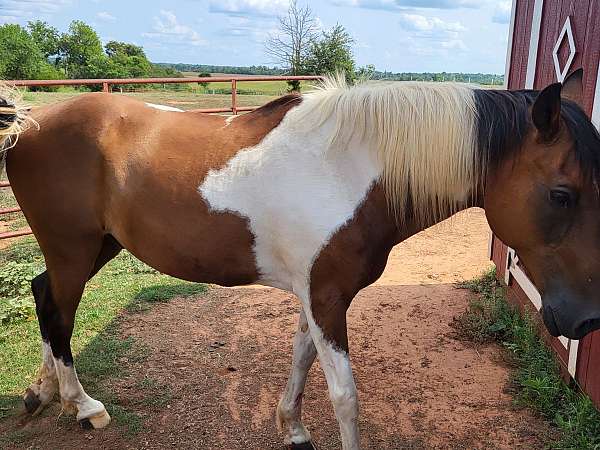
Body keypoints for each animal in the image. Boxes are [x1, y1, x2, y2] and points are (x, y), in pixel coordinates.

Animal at [1, 67, 600, 450]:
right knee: (58, 312)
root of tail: (29, 124)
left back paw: (42, 393)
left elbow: (301, 358)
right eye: (562, 194)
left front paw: (291, 428)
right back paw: (83, 406)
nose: (586, 320)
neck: (352, 169)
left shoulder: (316, 295)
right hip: (73, 248)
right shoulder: (327, 297)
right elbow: (344, 396)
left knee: (43, 295)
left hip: (97, 246)